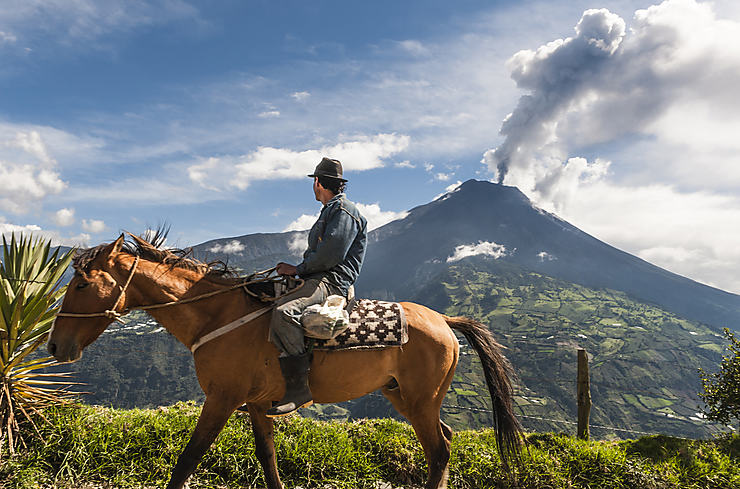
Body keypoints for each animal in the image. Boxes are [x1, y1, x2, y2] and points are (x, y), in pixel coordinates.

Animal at [47, 233, 520, 488]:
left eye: (83, 284)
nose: (54, 347)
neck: (219, 315)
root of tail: (444, 319)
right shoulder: (257, 405)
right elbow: (267, 457)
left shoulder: (222, 398)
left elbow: (189, 457)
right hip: (403, 396)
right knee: (444, 441)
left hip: (420, 400)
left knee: (439, 450)